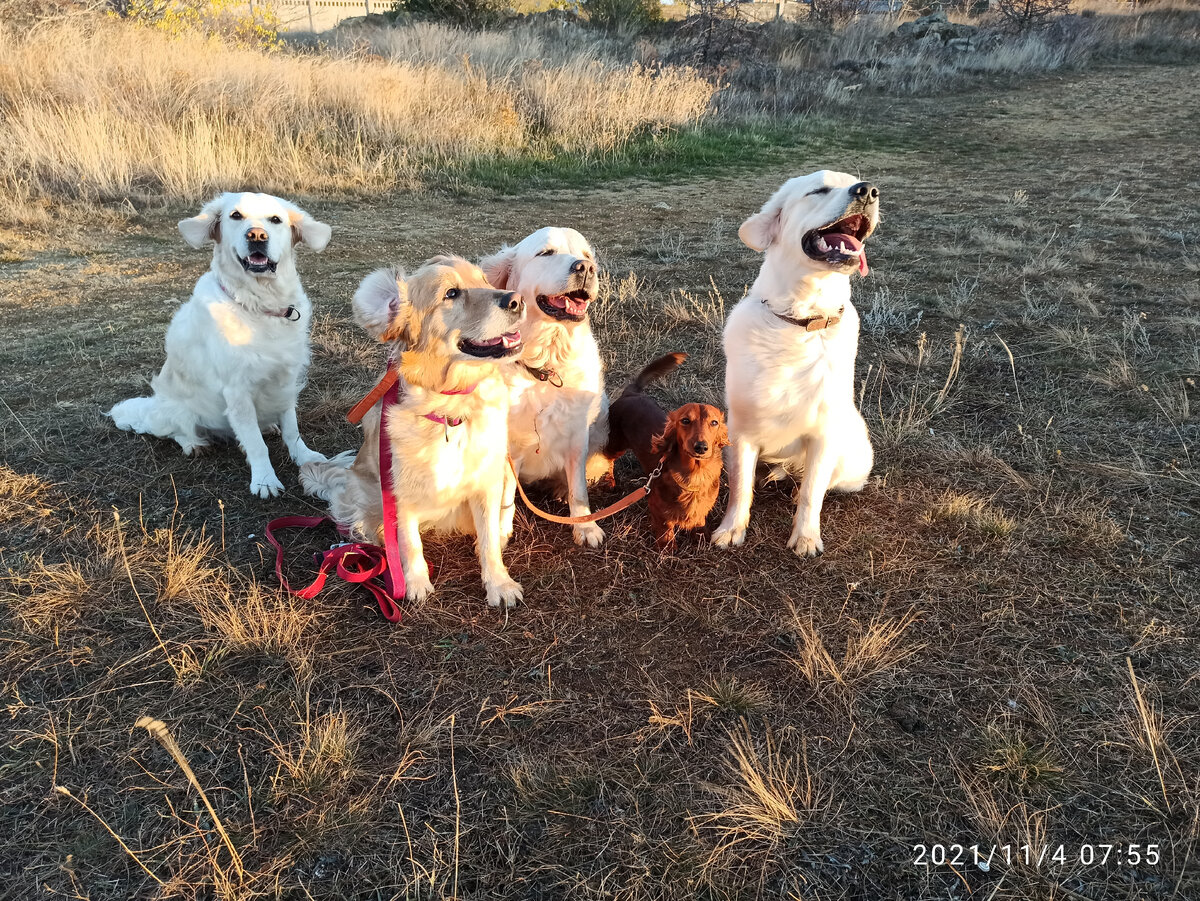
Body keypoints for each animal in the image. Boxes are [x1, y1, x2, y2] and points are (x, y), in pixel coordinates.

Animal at [108, 191, 331, 501]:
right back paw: (194, 444)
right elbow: (255, 444)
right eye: (235, 216)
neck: (260, 305)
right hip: (176, 410)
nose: (257, 235)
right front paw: (264, 480)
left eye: (275, 219)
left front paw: (305, 457)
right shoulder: (236, 390)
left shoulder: (286, 380)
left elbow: (291, 428)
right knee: (177, 431)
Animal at [300, 260, 525, 614]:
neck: (448, 410)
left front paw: (499, 584)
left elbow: (489, 541)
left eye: (485, 281)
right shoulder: (399, 491)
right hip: (364, 492)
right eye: (451, 293)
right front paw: (415, 583)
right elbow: (409, 541)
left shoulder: (487, 480)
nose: (517, 300)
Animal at [477, 226, 609, 549]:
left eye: (586, 255)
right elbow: (506, 493)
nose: (585, 268)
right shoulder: (507, 446)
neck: (546, 363)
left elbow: (578, 488)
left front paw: (584, 526)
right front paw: (501, 531)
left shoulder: (577, 435)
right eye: (546, 253)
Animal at [710, 166, 883, 554]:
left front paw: (805, 536)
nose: (868, 191)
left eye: (857, 182)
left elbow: (812, 494)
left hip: (851, 461)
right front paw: (732, 529)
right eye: (818, 190)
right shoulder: (742, 433)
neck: (802, 321)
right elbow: (740, 489)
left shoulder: (823, 435)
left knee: (819, 482)